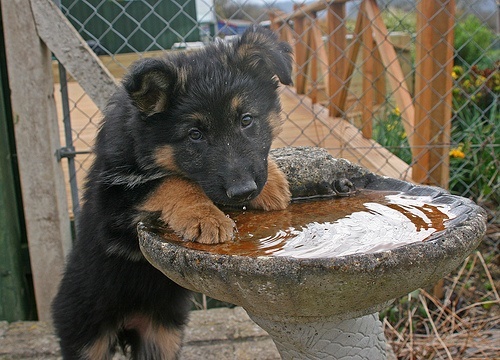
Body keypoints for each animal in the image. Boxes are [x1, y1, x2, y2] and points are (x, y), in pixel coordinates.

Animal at [51, 26, 292, 358]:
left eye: (246, 120)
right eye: (195, 135)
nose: (243, 192)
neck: (142, 143)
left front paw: (272, 185)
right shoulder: (111, 207)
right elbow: (172, 181)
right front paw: (206, 217)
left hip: (161, 337)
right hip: (87, 337)